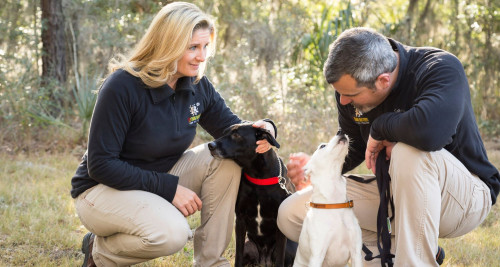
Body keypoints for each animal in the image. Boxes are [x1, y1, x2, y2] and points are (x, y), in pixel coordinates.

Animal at [208, 123, 296, 267]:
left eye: (236, 135)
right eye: (224, 132)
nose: (210, 145)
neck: (258, 177)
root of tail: (264, 261)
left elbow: (280, 259)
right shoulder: (240, 219)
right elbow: (238, 255)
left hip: (289, 246)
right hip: (249, 245)